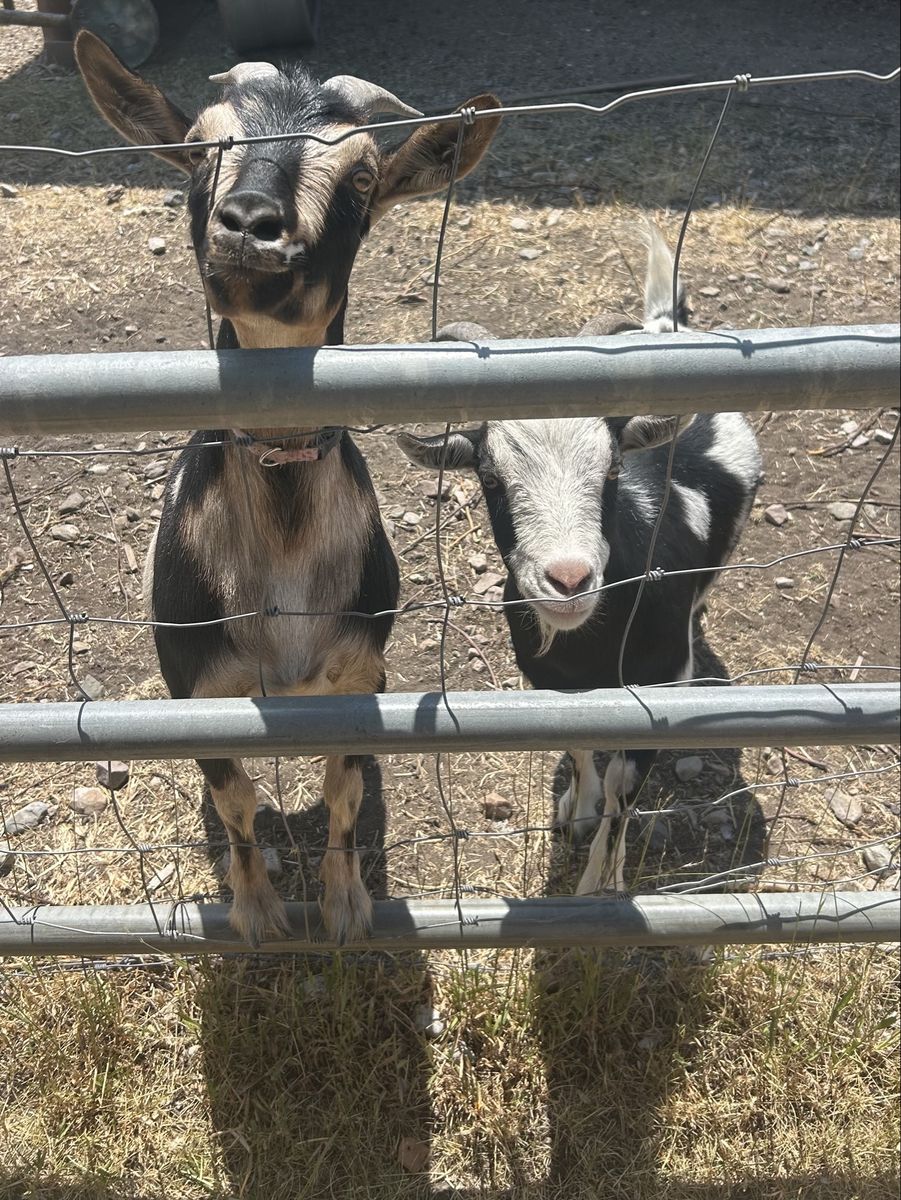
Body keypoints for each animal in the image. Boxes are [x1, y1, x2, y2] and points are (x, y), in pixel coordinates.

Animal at [75, 31, 501, 944]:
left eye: (364, 177)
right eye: (201, 146)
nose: (248, 227)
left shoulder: (361, 678)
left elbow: (343, 791)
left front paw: (345, 911)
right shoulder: (195, 688)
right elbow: (235, 800)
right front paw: (258, 914)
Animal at [397, 229, 762, 897]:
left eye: (614, 467)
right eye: (490, 477)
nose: (568, 580)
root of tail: (668, 333)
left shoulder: (656, 696)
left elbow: (623, 797)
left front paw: (598, 886)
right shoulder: (554, 686)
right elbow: (582, 745)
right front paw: (577, 810)